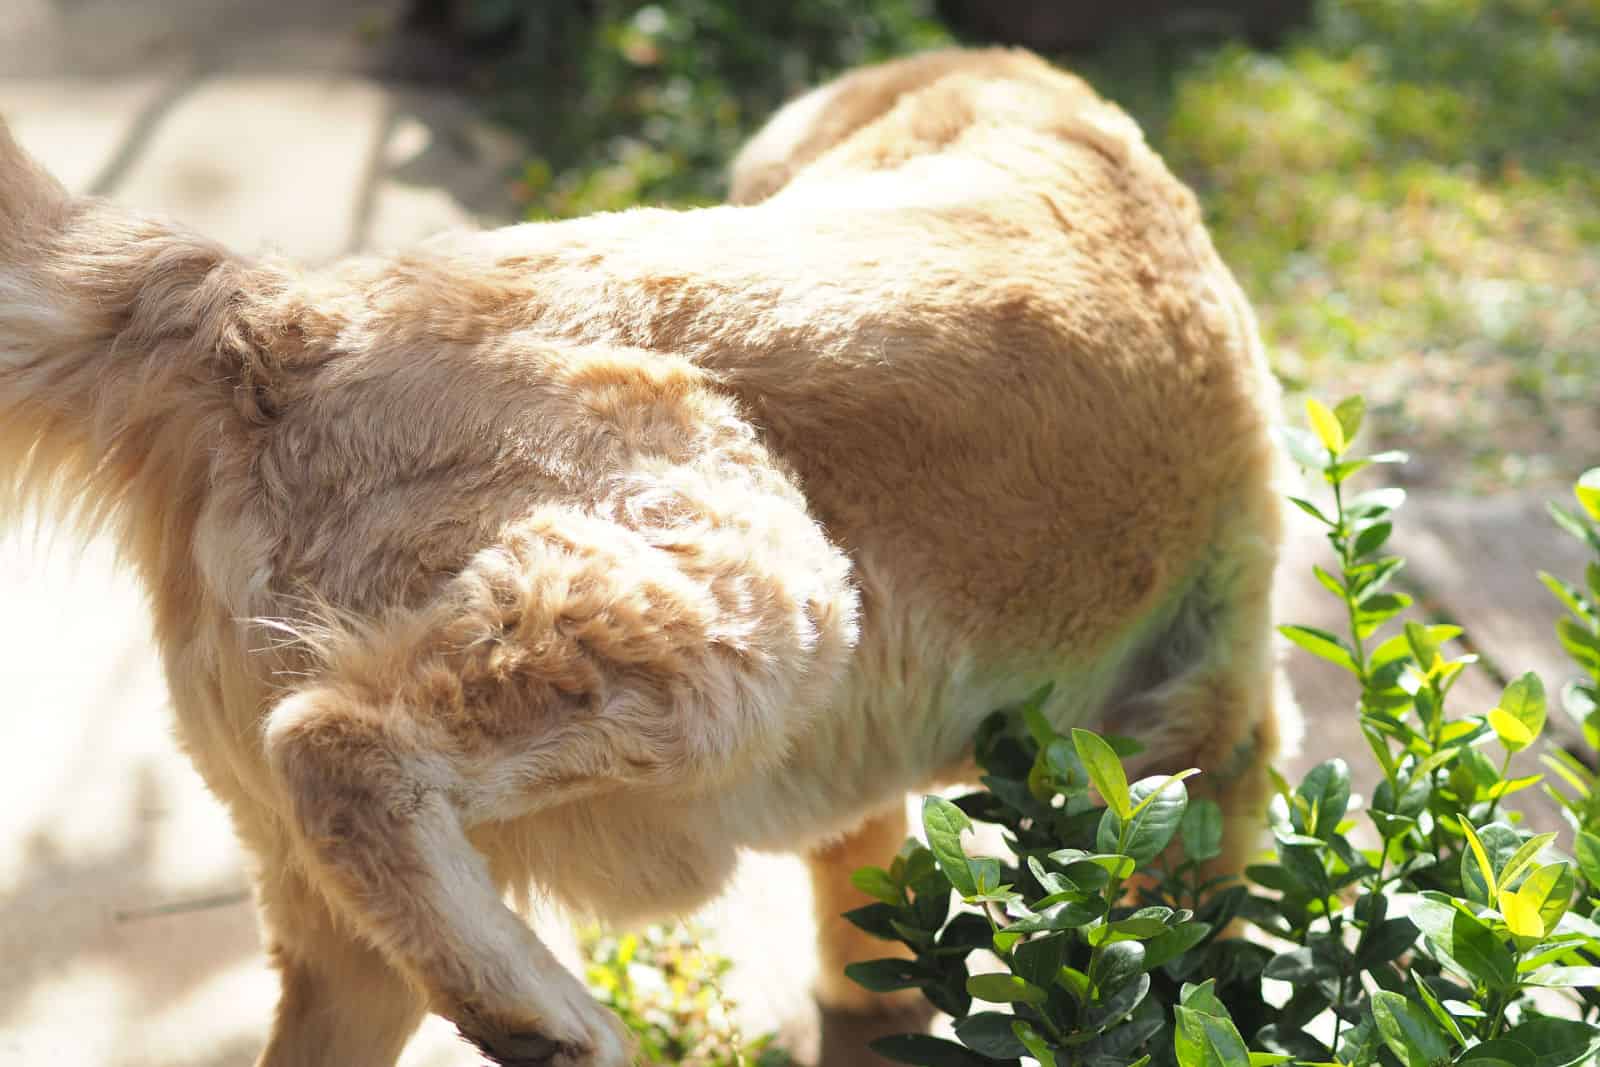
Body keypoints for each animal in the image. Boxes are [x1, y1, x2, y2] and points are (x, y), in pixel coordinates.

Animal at [0, 47, 1292, 1067]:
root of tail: (280, 322)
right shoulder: (1219, 715)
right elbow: (1203, 913)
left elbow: (863, 883)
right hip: (755, 596)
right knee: (340, 740)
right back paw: (547, 1018)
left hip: (335, 929)